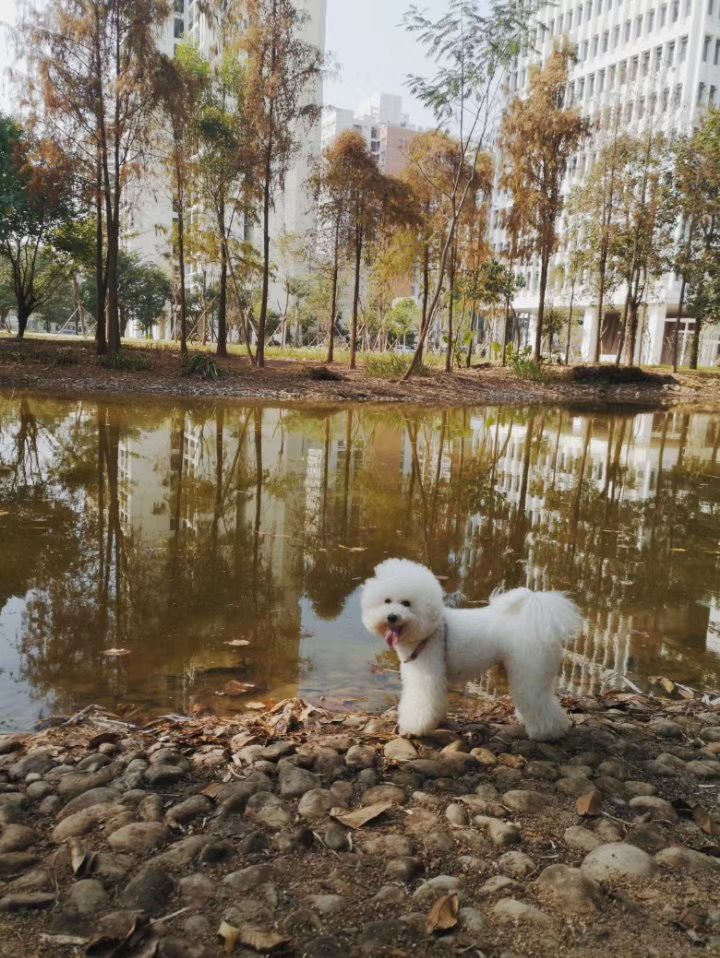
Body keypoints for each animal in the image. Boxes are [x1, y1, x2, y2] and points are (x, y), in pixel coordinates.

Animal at [362, 564, 584, 744]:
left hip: (530, 670)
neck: (430, 630)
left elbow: (421, 702)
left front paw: (412, 729)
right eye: (387, 601)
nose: (392, 617)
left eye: (406, 603)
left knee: (539, 703)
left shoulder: (427, 674)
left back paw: (548, 733)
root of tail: (539, 620)